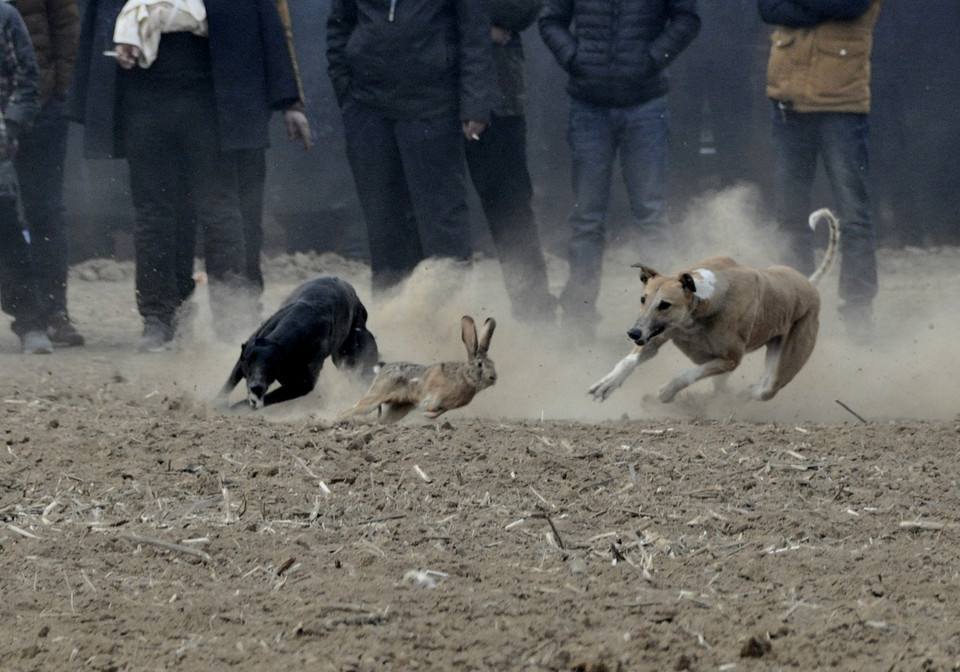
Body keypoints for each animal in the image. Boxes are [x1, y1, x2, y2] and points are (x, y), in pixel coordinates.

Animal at [219, 276, 376, 410]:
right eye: (249, 362)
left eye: (270, 364)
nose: (256, 387)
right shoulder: (247, 350)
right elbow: (231, 380)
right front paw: (217, 404)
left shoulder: (302, 385)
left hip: (349, 354)